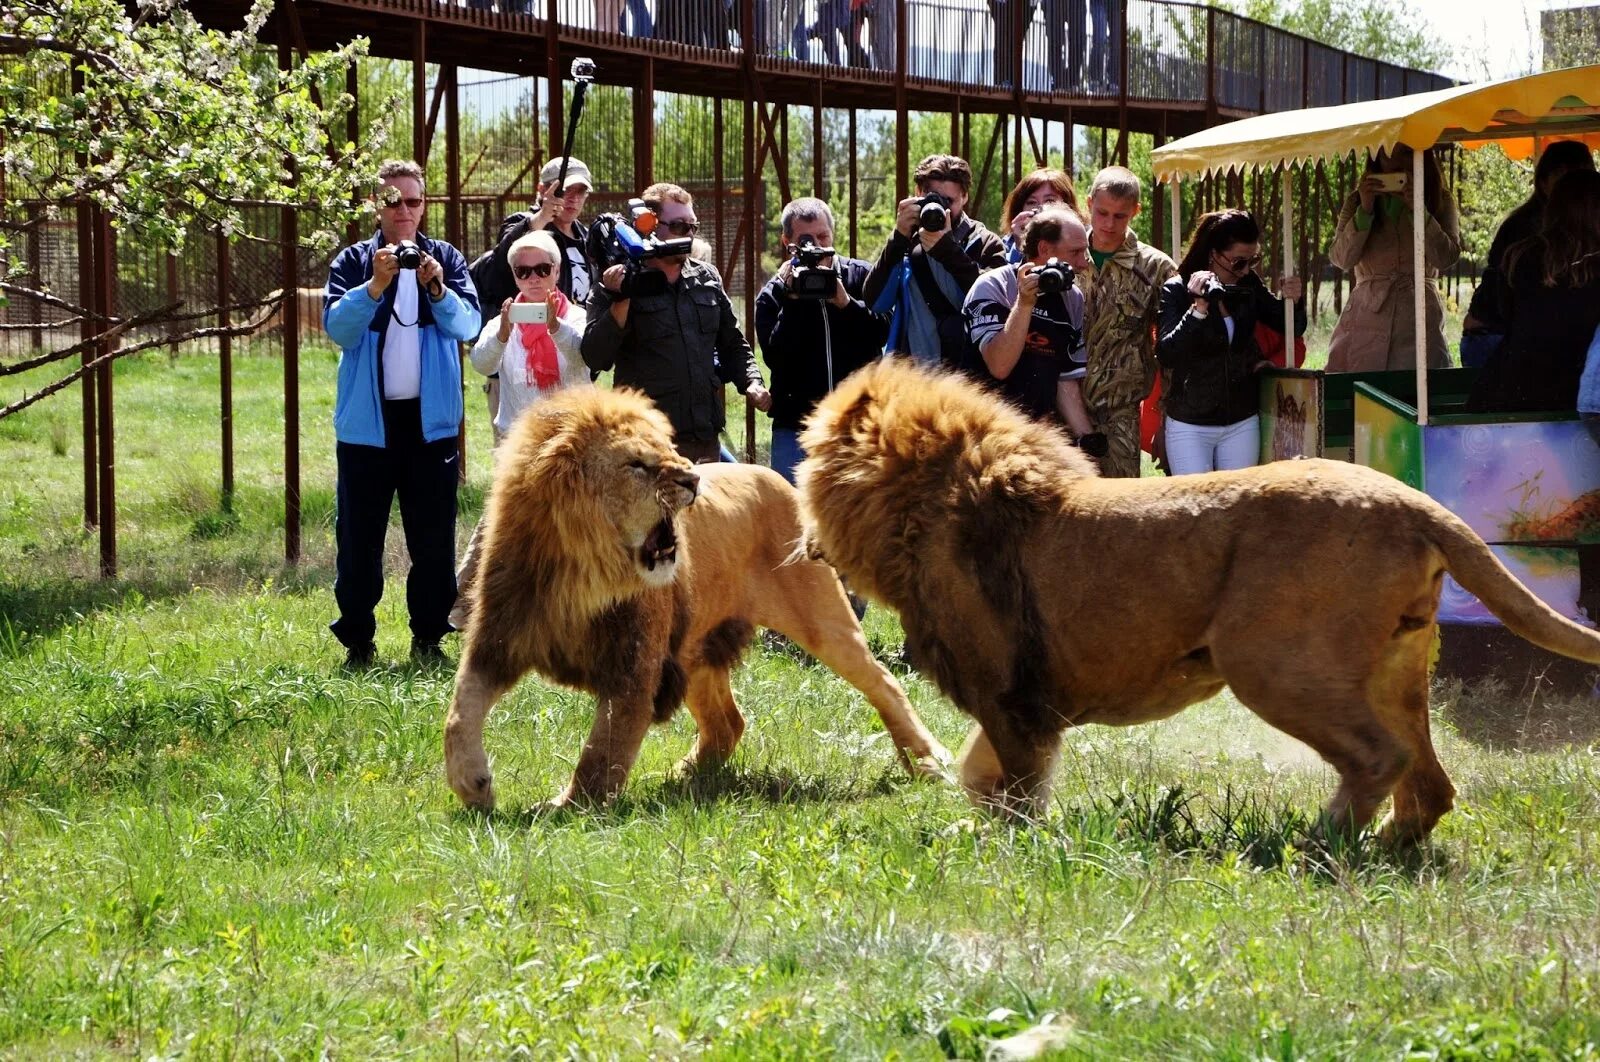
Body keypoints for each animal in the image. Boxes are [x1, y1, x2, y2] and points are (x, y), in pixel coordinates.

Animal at [444, 385, 947, 809]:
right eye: (636, 464)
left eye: (671, 451)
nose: (692, 480)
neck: (582, 575)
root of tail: (771, 474)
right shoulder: (498, 639)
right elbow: (459, 712)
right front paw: (473, 785)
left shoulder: (633, 669)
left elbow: (602, 750)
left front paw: (564, 810)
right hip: (694, 650)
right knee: (729, 723)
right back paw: (681, 777)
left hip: (824, 623)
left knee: (885, 682)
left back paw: (930, 763)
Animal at [800, 361, 1600, 844]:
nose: (804, 542)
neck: (925, 501)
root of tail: (1414, 503)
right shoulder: (1027, 698)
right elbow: (981, 769)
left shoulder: (1010, 693)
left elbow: (1017, 785)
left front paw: (999, 841)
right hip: (1397, 670)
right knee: (1431, 783)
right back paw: (1389, 847)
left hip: (1271, 664)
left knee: (1383, 758)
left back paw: (1317, 845)